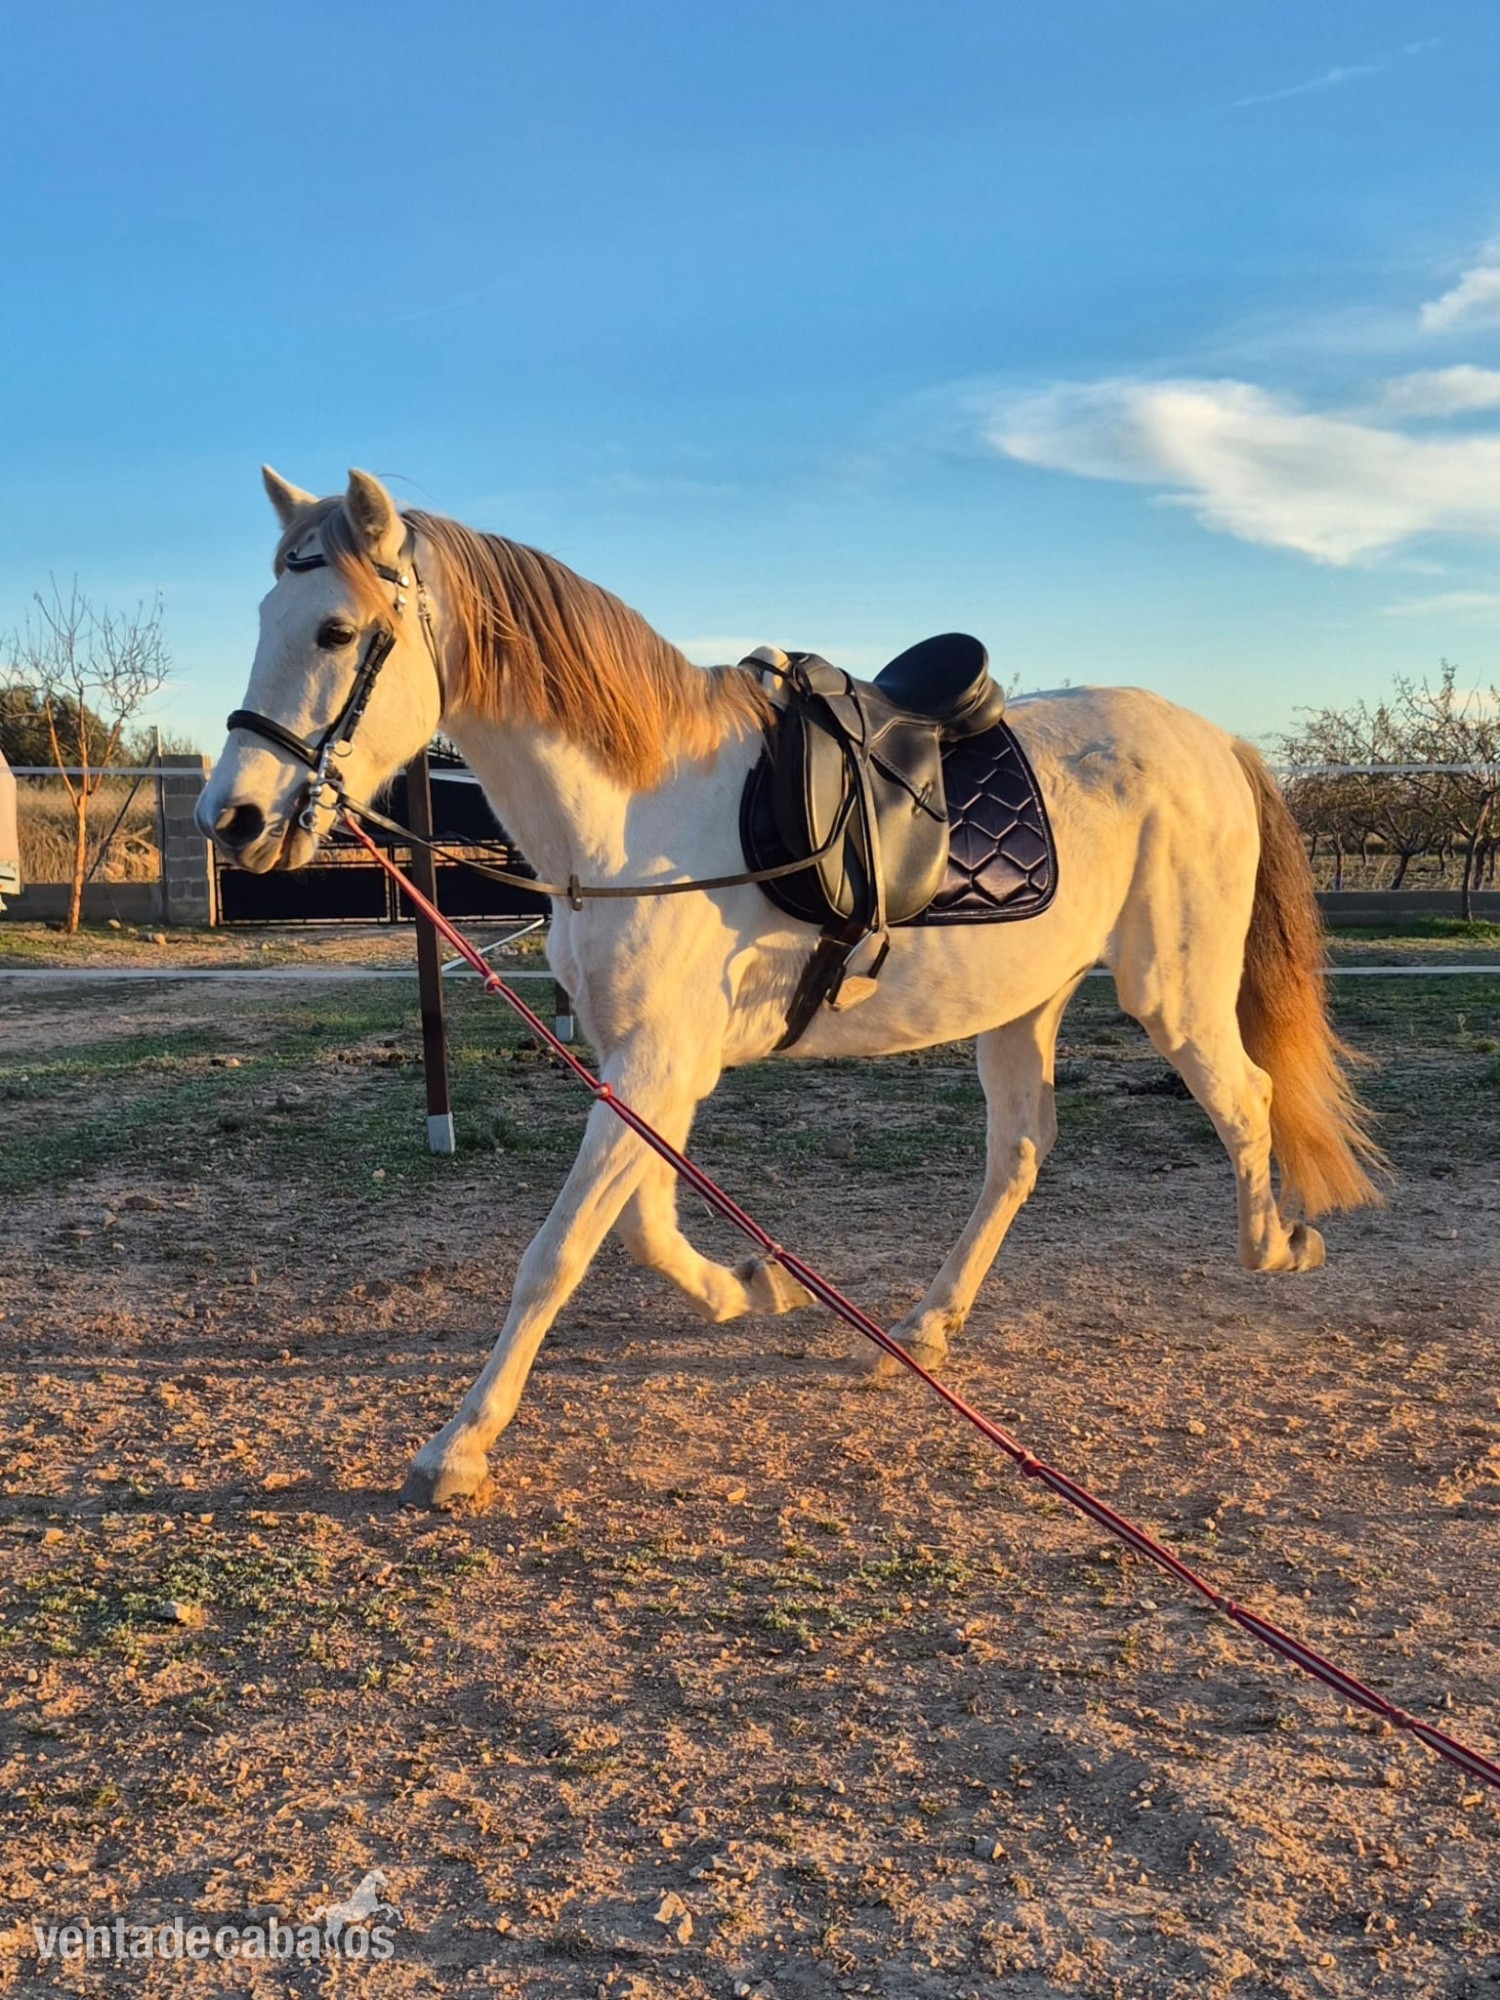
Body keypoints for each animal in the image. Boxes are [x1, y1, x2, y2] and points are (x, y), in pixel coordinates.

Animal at [199, 467, 1382, 1508]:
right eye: (259, 614)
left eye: (334, 632)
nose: (232, 819)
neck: (637, 817)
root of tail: (1213, 740)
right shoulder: (652, 1070)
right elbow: (643, 1224)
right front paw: (746, 1287)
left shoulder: (657, 1064)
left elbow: (559, 1250)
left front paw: (457, 1446)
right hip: (1022, 1006)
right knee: (1020, 1153)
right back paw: (924, 1327)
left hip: (1171, 988)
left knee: (1245, 1100)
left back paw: (1276, 1244)